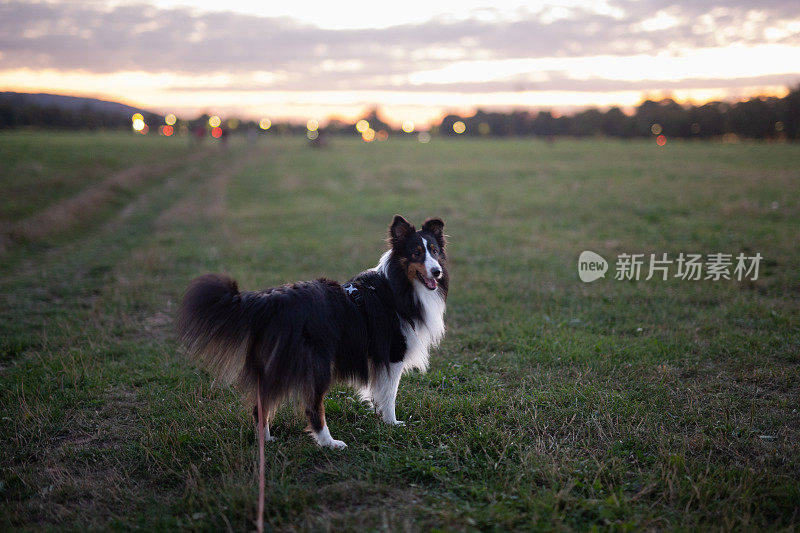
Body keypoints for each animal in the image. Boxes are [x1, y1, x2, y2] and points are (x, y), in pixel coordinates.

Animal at [177, 214, 450, 446]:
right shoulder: (393, 352)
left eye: (435, 251)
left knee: (260, 404)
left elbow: (379, 393)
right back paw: (330, 443)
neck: (400, 285)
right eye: (416, 253)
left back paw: (267, 441)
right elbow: (390, 393)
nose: (437, 271)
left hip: (275, 364)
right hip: (316, 363)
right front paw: (392, 423)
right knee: (312, 407)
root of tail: (270, 301)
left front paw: (380, 417)